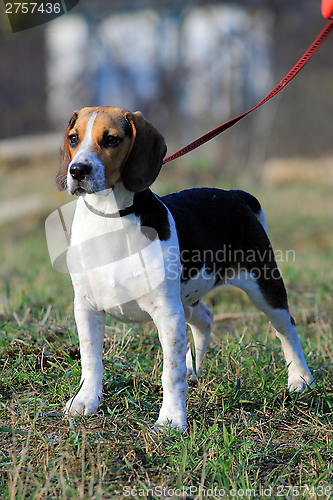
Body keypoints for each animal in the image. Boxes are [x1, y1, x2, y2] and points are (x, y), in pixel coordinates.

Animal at [55, 106, 312, 430]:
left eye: (111, 139)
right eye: (73, 138)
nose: (77, 171)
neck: (110, 217)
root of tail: (235, 194)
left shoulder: (167, 313)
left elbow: (171, 373)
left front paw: (171, 419)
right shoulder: (86, 307)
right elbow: (91, 360)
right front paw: (86, 401)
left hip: (263, 288)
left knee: (286, 327)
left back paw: (300, 378)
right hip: (187, 298)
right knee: (205, 319)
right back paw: (194, 368)